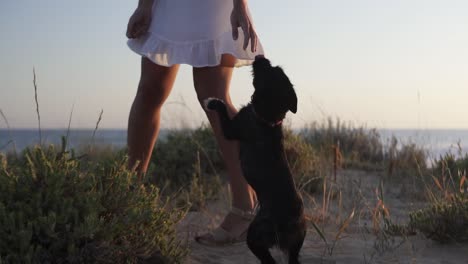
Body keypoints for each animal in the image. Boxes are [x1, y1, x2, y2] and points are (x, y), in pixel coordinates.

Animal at [205, 57, 308, 264]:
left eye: (269, 69)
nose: (261, 58)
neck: (268, 117)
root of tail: (289, 221)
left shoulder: (231, 129)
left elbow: (222, 109)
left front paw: (213, 102)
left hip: (255, 235)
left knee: (268, 259)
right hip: (296, 242)